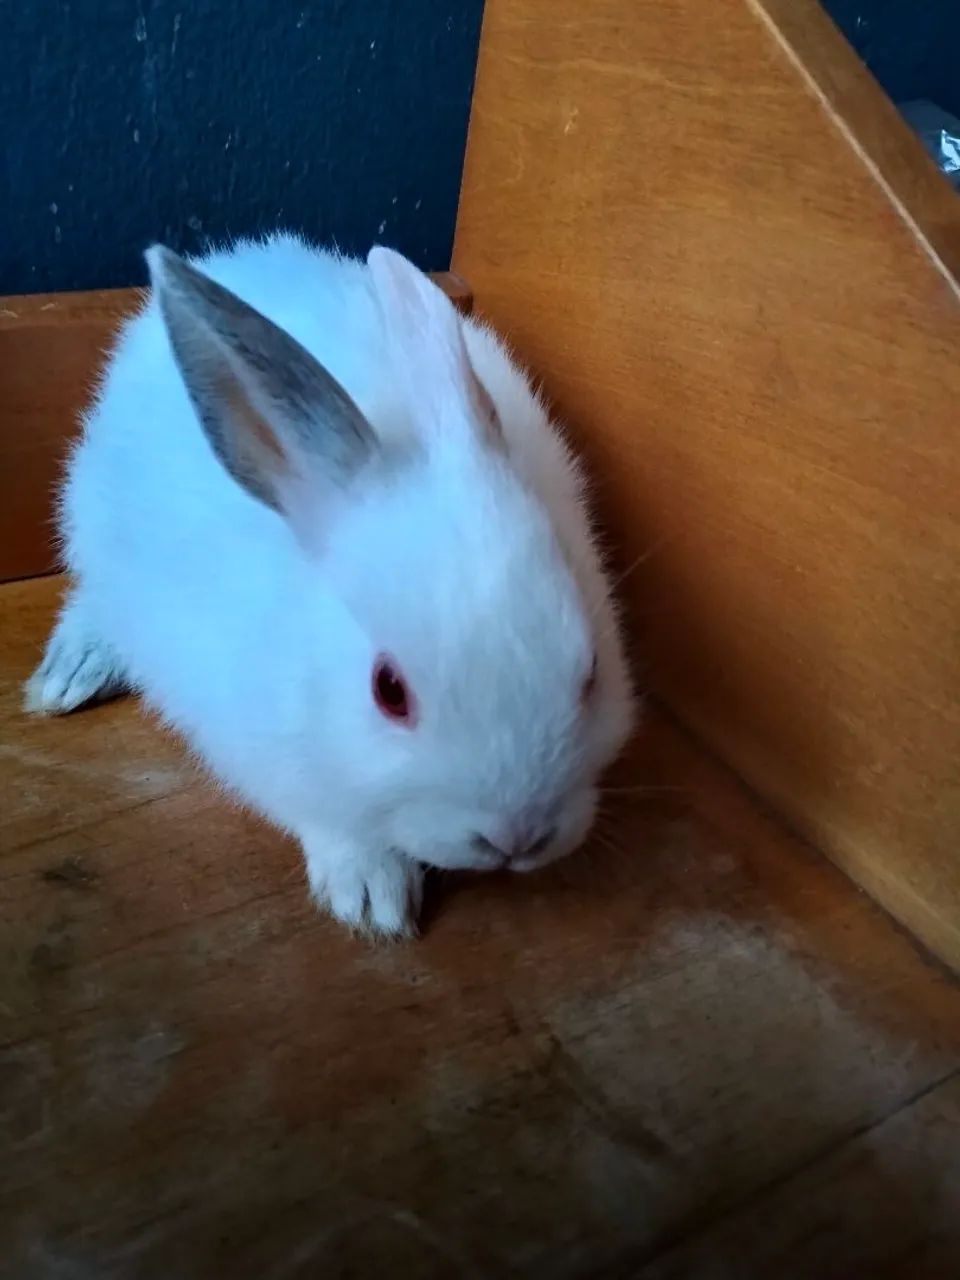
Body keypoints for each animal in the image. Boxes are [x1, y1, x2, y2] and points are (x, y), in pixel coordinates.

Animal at [25, 234, 635, 937]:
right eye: (388, 692)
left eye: (591, 672)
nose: (517, 837)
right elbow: (333, 823)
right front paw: (373, 900)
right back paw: (70, 675)